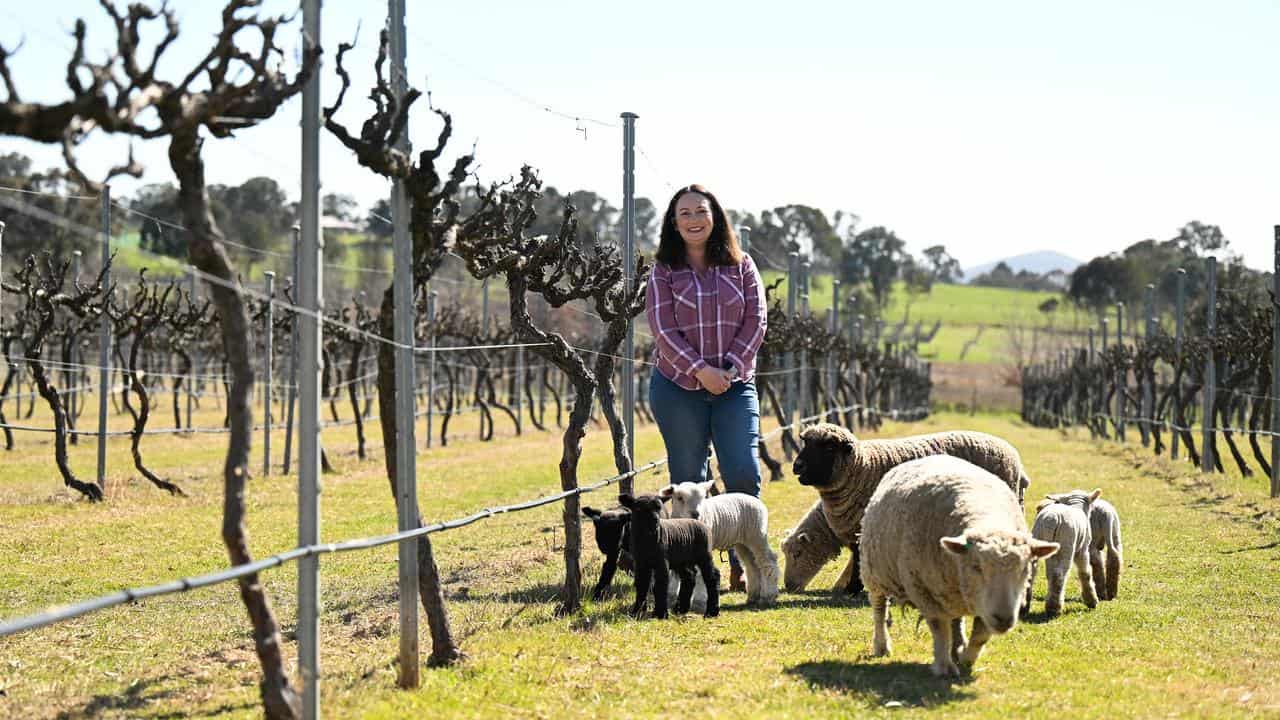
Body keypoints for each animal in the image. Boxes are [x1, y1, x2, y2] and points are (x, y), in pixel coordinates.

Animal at [793, 417, 1034, 591]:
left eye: (829, 448)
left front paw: (853, 589)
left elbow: (859, 559)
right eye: (805, 442)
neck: (862, 468)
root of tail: (1017, 462)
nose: (797, 466)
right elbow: (856, 556)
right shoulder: (855, 528)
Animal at [855, 450, 1054, 676]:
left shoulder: (984, 605)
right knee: (879, 608)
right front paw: (945, 667)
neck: (985, 518)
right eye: (976, 567)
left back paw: (958, 645)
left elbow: (981, 635)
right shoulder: (924, 591)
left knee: (956, 619)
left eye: (1024, 571)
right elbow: (940, 629)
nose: (1004, 619)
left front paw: (966, 657)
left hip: (950, 589)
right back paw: (882, 645)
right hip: (873, 570)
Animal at [1029, 484, 1100, 614]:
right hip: (1066, 544)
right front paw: (1091, 601)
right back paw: (1054, 608)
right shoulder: (1083, 549)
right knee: (1059, 575)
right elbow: (1085, 572)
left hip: (1037, 541)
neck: (1076, 505)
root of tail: (1053, 519)